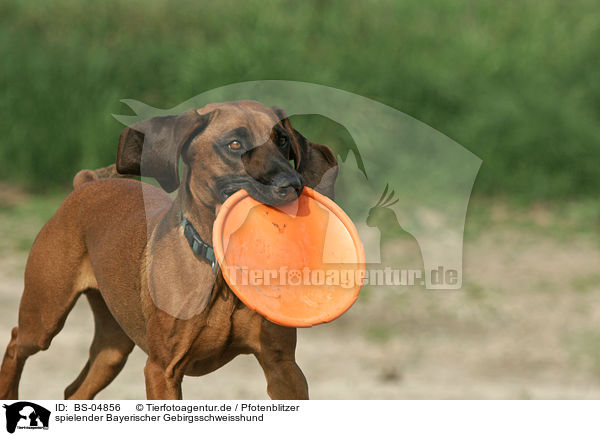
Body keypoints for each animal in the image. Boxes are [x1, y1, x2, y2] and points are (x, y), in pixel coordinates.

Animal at [0, 100, 338, 400]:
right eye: (234, 144)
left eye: (282, 140)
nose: (292, 185)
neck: (219, 272)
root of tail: (87, 183)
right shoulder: (162, 370)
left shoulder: (283, 367)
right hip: (44, 316)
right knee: (17, 342)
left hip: (113, 348)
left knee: (74, 390)